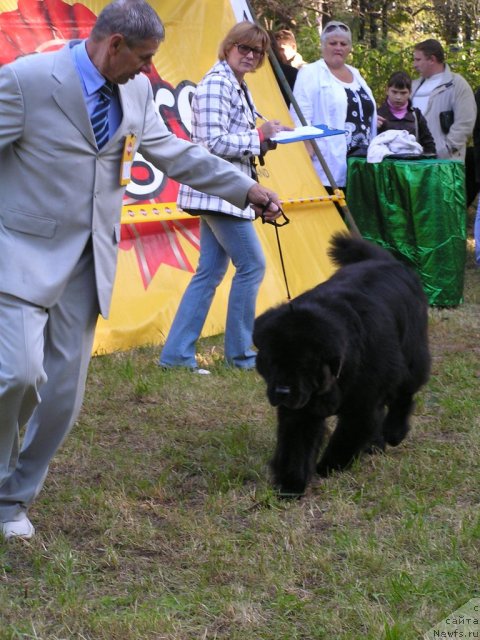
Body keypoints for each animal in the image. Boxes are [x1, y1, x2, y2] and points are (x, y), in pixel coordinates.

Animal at [253, 232, 430, 498]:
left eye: (303, 365)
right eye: (272, 362)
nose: (282, 391)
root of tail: (386, 261)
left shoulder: (362, 404)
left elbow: (346, 437)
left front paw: (328, 467)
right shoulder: (301, 410)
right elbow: (295, 446)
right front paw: (290, 485)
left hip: (411, 358)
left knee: (404, 395)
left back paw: (393, 433)